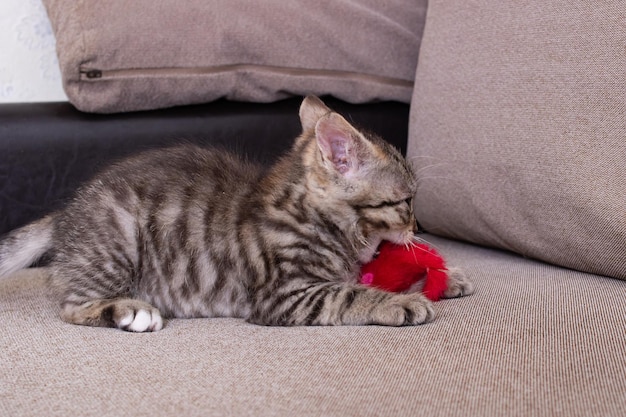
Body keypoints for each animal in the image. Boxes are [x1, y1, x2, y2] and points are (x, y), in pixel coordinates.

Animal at [0, 95, 470, 332]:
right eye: (406, 202)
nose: (417, 225)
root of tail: (66, 212)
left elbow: (364, 278)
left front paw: (447, 278)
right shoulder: (287, 294)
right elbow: (351, 293)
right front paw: (402, 302)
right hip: (119, 240)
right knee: (71, 306)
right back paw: (130, 310)